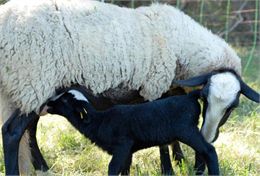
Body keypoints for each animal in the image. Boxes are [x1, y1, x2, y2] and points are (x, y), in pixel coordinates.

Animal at [45, 87, 218, 175]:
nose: (48, 102)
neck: (99, 121)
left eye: (65, 99)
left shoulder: (122, 146)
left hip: (186, 130)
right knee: (202, 152)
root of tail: (190, 96)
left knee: (209, 150)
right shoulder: (128, 151)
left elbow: (113, 168)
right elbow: (125, 170)